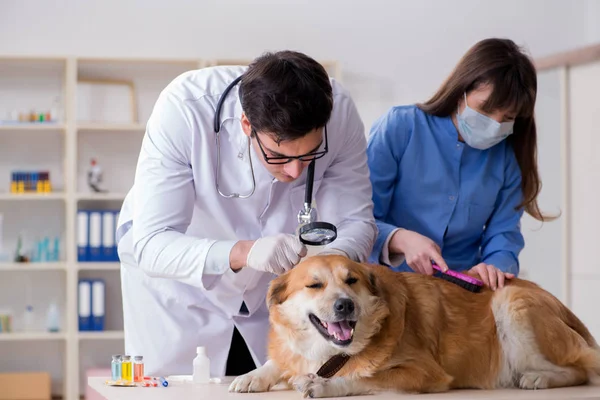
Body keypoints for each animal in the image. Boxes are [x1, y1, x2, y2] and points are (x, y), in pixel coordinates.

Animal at [229, 256, 600, 396]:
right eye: (314, 285)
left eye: (351, 281)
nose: (345, 305)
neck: (329, 352)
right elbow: (279, 361)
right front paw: (252, 376)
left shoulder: (425, 373)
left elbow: (363, 377)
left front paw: (324, 385)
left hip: (511, 303)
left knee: (579, 369)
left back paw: (539, 378)